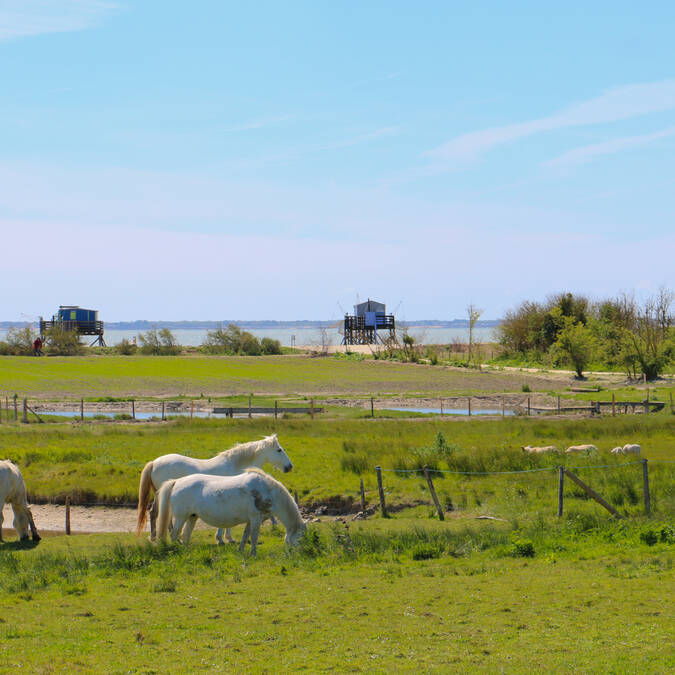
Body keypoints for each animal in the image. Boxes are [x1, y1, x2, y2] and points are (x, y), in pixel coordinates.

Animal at [136, 434, 293, 543]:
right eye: (279, 450)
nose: (289, 467)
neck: (236, 465)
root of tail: (154, 462)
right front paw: (225, 539)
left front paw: (224, 538)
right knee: (159, 515)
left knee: (155, 513)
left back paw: (158, 537)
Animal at [156, 468, 307, 556]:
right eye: (301, 535)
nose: (303, 551)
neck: (267, 490)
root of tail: (177, 481)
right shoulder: (255, 518)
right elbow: (254, 537)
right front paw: (253, 553)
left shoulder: (251, 520)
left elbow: (246, 535)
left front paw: (241, 550)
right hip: (180, 517)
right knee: (174, 534)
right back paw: (176, 551)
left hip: (192, 517)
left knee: (185, 535)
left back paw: (187, 552)